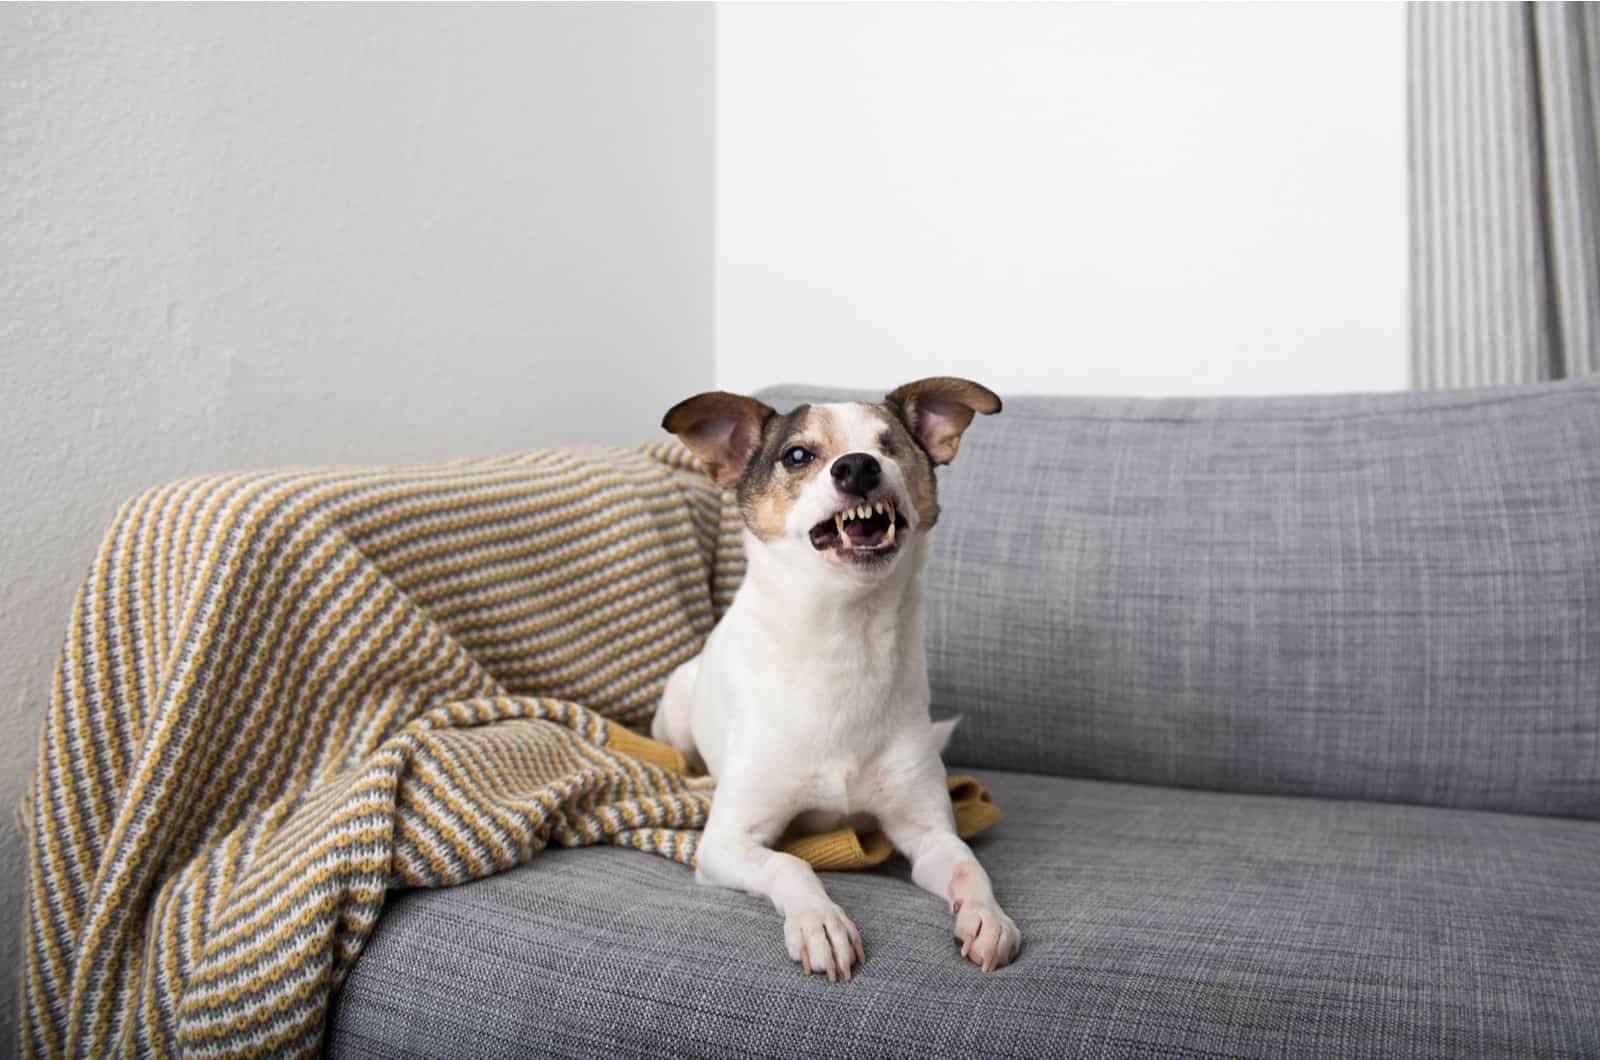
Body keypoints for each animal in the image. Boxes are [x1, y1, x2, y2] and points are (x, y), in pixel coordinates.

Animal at [652, 377, 1017, 986]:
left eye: (889, 445)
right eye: (798, 455)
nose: (859, 467)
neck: (848, 639)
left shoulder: (927, 833)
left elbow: (968, 864)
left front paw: (987, 917)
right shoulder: (725, 845)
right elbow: (792, 864)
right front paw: (820, 923)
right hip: (678, 706)